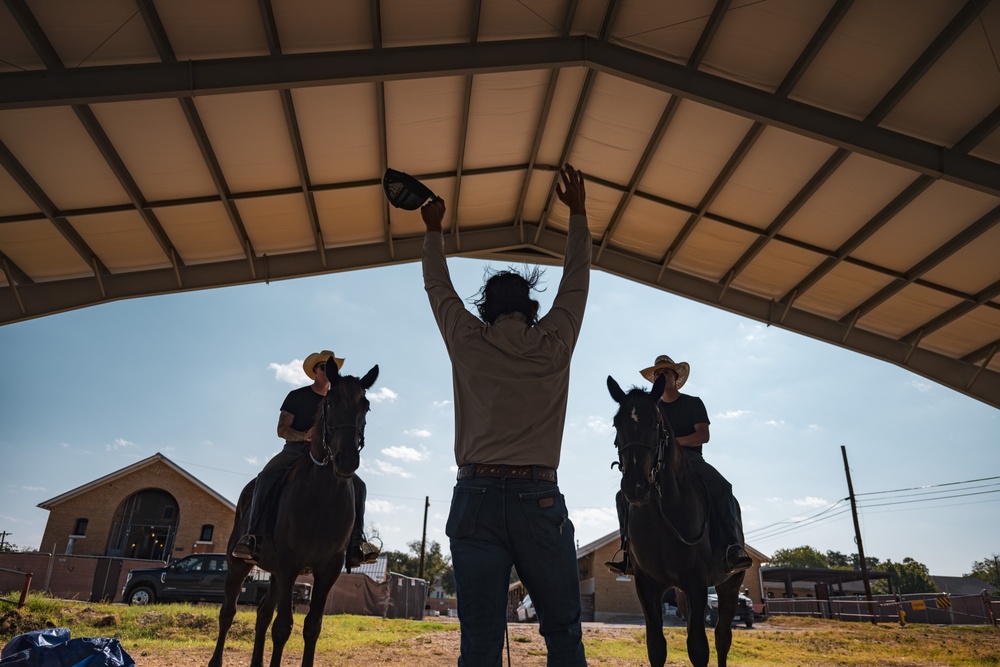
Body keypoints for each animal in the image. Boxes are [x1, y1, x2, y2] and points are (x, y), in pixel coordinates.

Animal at [210, 366, 378, 667]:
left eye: (366, 406)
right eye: (330, 403)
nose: (346, 461)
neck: (324, 494)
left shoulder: (327, 569)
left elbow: (312, 626)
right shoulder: (289, 563)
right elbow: (282, 627)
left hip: (275, 573)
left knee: (262, 614)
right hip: (238, 564)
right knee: (228, 612)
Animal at [604, 376, 748, 667]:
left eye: (655, 422)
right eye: (617, 423)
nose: (635, 486)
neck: (661, 519)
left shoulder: (696, 582)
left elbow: (699, 648)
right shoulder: (647, 585)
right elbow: (656, 647)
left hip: (730, 583)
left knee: (722, 637)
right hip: (683, 595)